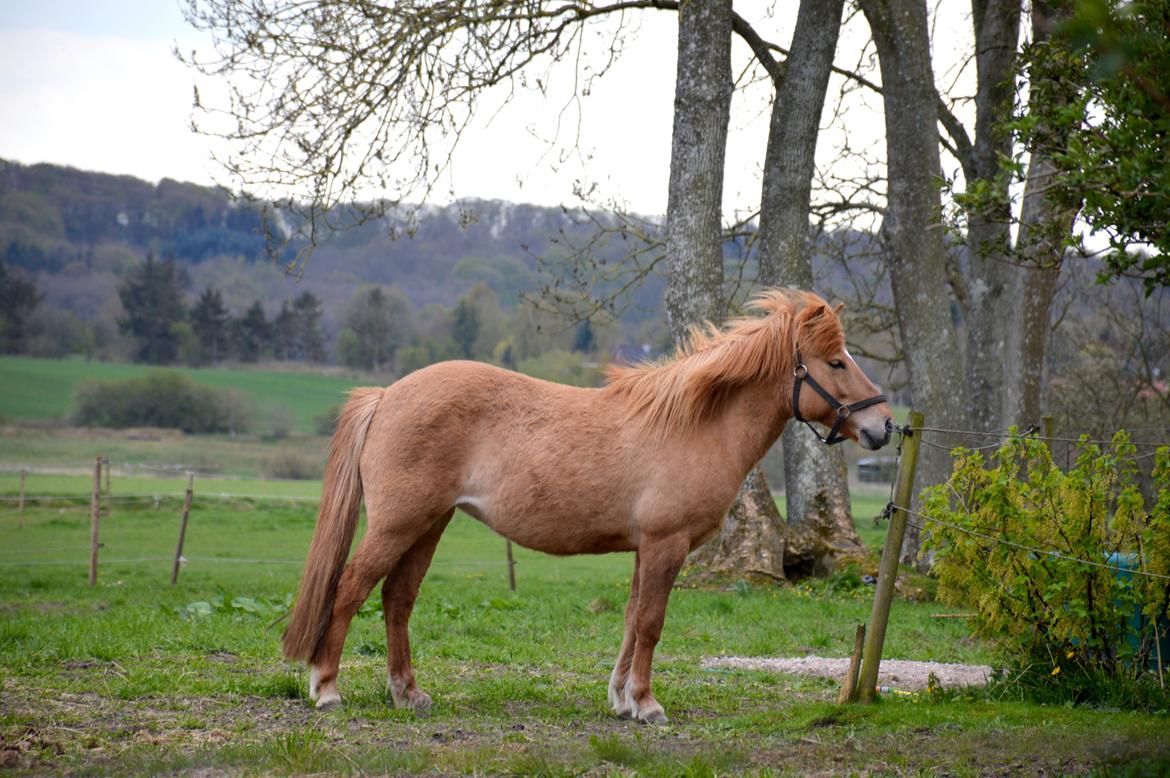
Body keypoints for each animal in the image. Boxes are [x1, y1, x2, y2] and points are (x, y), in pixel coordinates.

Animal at [278, 286, 889, 720]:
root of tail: (386, 396)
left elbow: (632, 619)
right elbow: (651, 623)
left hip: (428, 525)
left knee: (397, 600)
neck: (693, 423)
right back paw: (326, 688)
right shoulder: (666, 545)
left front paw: (622, 699)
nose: (884, 425)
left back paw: (408, 694)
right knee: (351, 589)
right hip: (398, 524)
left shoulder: (647, 549)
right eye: (836, 361)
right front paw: (646, 704)